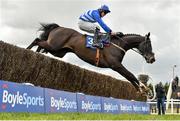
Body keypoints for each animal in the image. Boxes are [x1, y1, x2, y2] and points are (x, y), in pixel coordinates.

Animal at [26, 23, 155, 93]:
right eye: (149, 45)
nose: (152, 59)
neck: (119, 44)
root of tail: (58, 27)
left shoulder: (116, 66)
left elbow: (129, 77)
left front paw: (141, 89)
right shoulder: (115, 65)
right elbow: (130, 75)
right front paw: (144, 89)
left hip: (58, 51)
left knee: (41, 46)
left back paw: (38, 55)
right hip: (54, 46)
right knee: (37, 40)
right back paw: (27, 50)